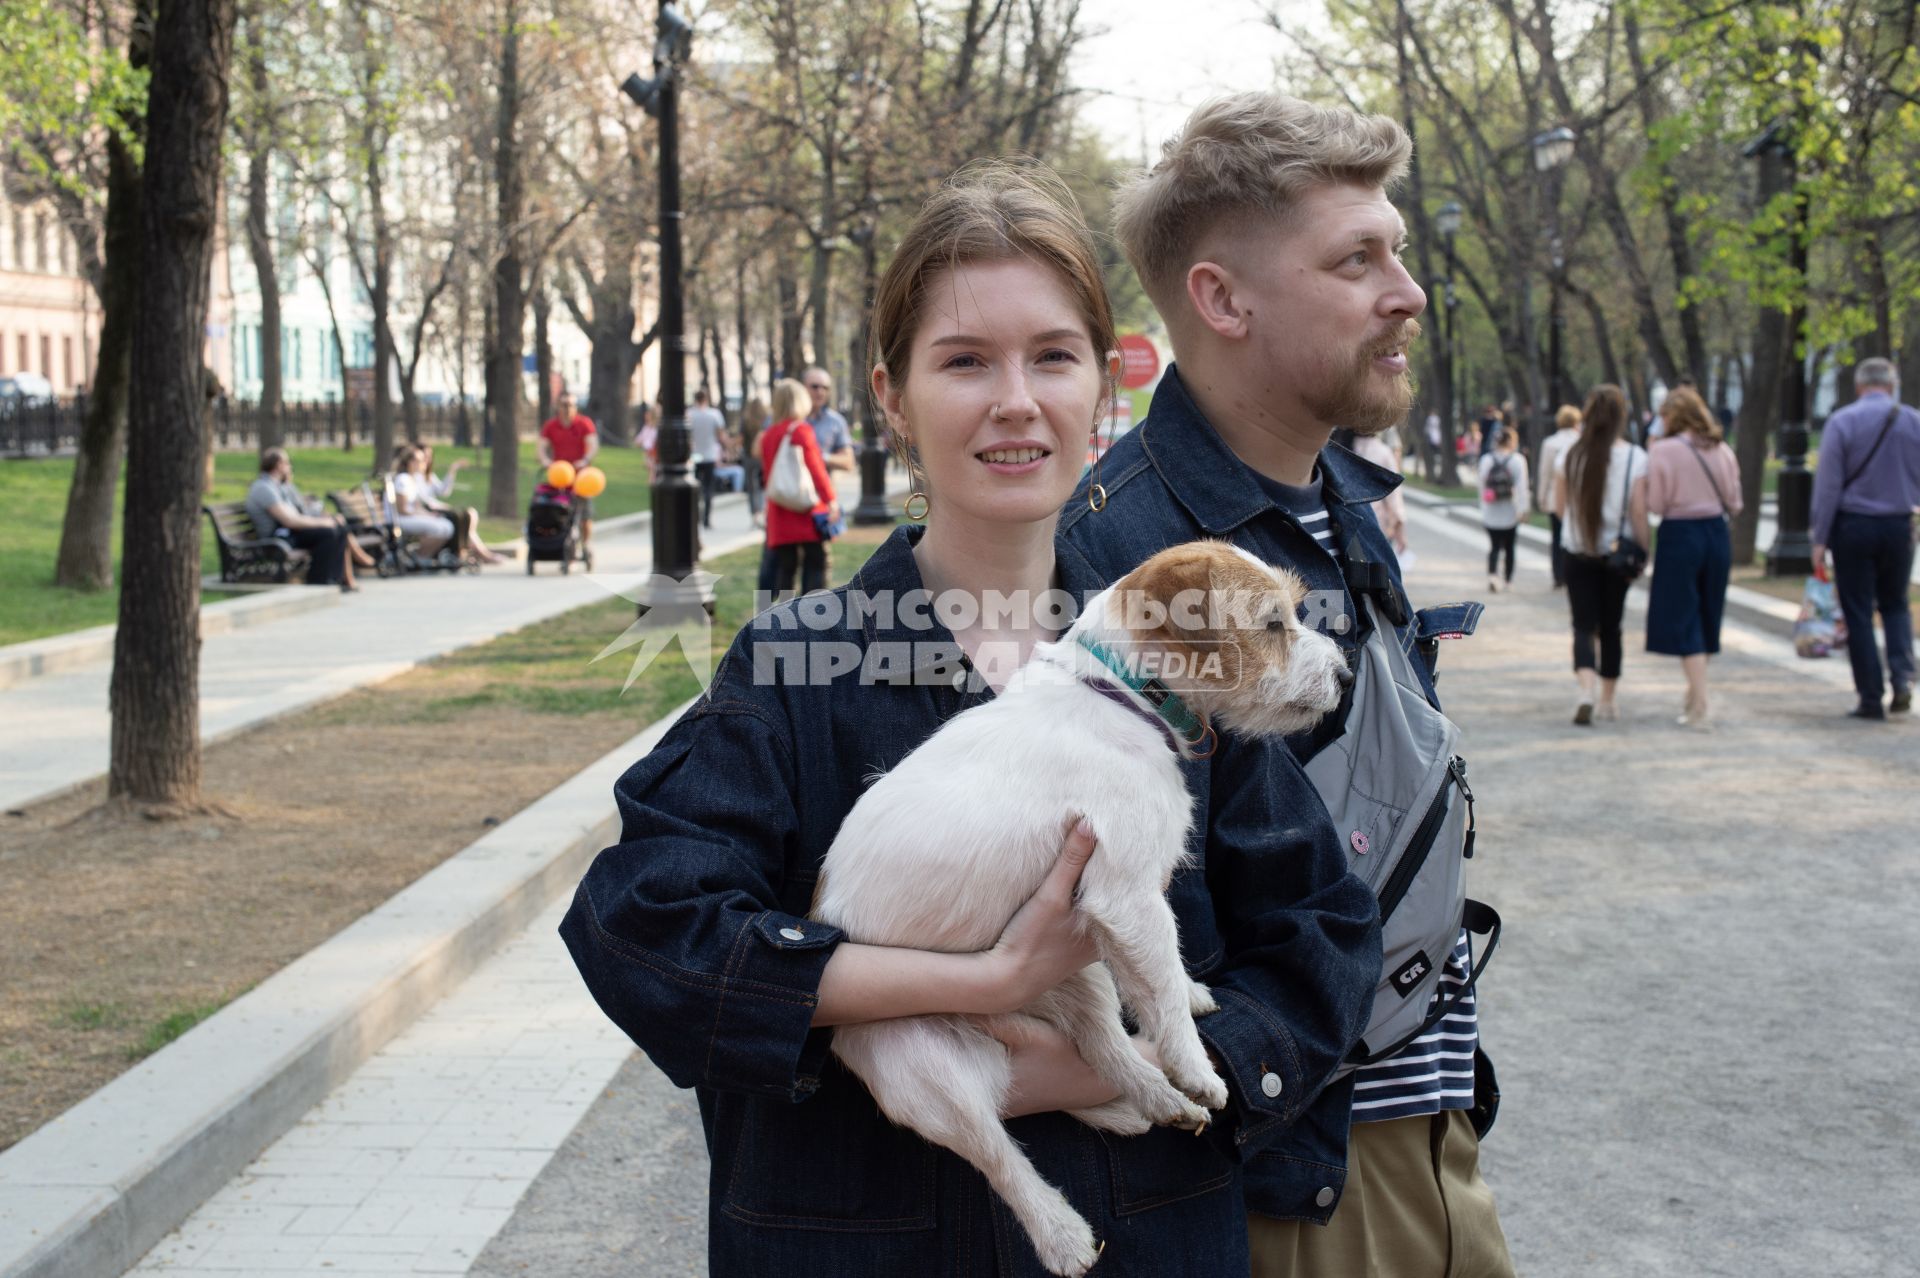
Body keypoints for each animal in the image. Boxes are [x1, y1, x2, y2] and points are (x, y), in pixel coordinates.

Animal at [814, 541, 1351, 1274]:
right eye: (1273, 623)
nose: (1345, 674)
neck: (1121, 693)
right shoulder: (1125, 894)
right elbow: (1160, 980)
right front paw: (1193, 1063)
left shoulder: (1115, 912)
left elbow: (1158, 981)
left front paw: (1188, 1013)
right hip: (924, 1072)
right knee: (998, 1156)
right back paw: (1064, 1233)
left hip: (1077, 965)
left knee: (1100, 1043)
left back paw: (1150, 1102)